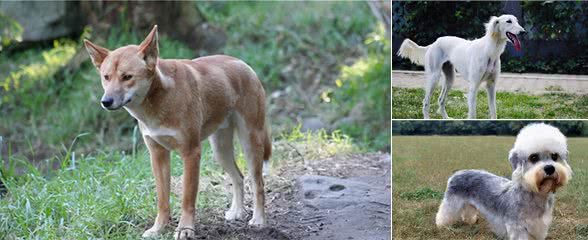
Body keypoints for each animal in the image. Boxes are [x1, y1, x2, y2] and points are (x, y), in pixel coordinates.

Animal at [83, 25, 272, 239]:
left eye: (127, 77)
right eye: (106, 77)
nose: (106, 101)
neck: (159, 100)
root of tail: (243, 63)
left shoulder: (191, 153)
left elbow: (187, 200)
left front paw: (185, 229)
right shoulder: (158, 154)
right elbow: (162, 200)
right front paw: (159, 228)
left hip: (250, 142)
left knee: (258, 183)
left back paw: (258, 220)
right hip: (220, 150)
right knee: (238, 177)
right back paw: (237, 212)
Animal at [438, 123, 572, 239]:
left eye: (554, 156)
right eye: (533, 157)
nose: (550, 168)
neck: (534, 192)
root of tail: (456, 173)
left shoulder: (539, 225)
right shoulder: (517, 227)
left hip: (468, 203)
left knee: (467, 211)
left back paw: (469, 221)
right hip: (452, 201)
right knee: (444, 212)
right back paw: (441, 224)